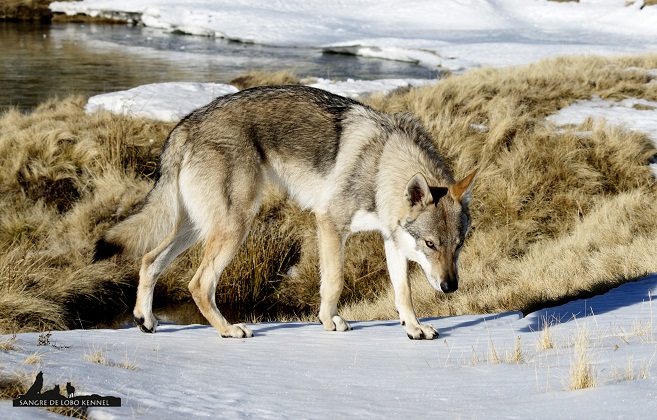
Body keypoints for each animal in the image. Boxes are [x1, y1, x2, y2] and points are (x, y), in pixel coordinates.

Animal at [93, 85, 476, 342]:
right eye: (430, 244)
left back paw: (145, 319)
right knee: (198, 283)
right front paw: (328, 322)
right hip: (236, 225)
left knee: (149, 260)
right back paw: (228, 330)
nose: (450, 287)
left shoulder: (392, 239)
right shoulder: (330, 223)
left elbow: (402, 291)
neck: (382, 164)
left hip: (197, 228)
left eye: (458, 245)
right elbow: (334, 281)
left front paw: (414, 328)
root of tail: (185, 124)